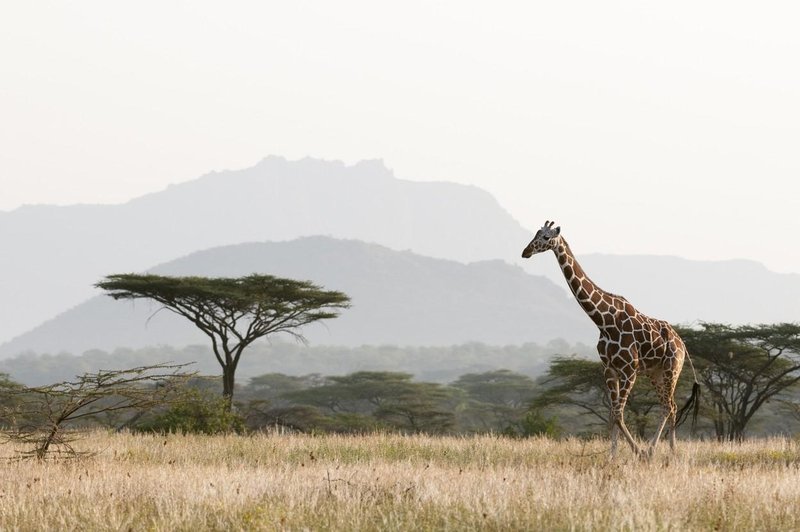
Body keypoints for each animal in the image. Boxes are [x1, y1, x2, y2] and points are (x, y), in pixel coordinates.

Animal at [520, 220, 696, 458]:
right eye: (536, 233)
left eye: (547, 237)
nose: (526, 251)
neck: (604, 321)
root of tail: (682, 343)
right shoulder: (609, 369)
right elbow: (613, 414)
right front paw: (612, 457)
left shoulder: (630, 370)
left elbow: (619, 414)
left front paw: (637, 451)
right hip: (656, 372)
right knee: (670, 406)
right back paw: (668, 451)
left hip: (672, 369)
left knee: (669, 406)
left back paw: (656, 451)